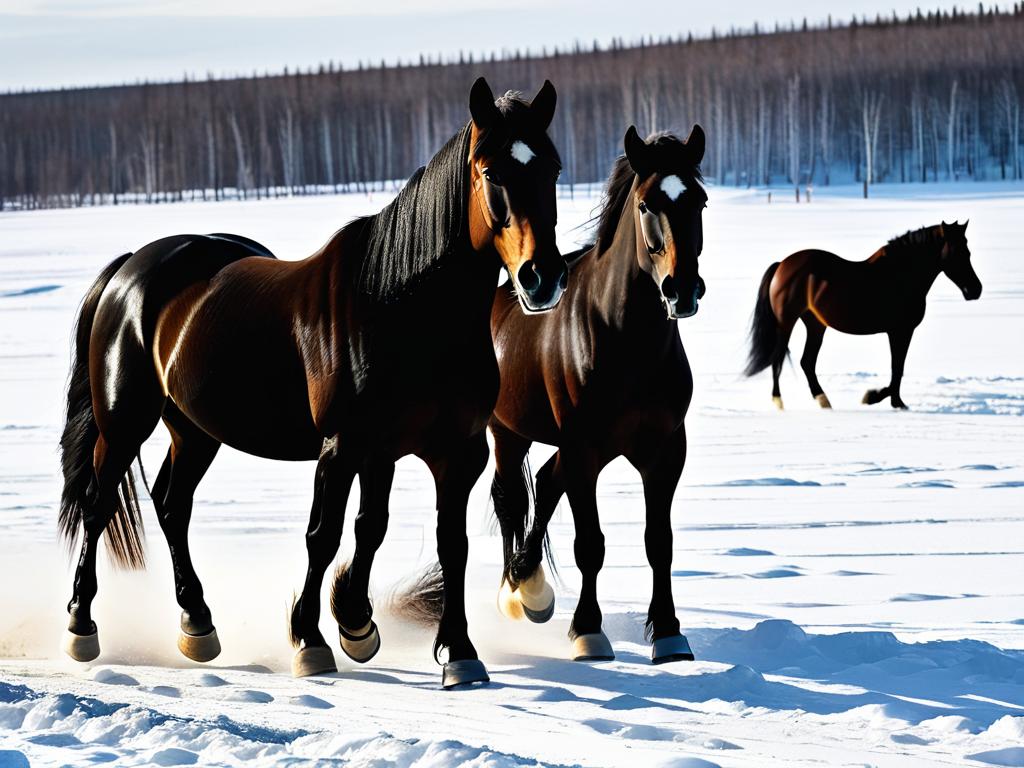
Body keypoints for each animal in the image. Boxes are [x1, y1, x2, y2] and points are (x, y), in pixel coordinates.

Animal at [485, 123, 708, 663]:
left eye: (700, 201)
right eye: (647, 204)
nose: (682, 289)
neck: (624, 338)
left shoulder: (664, 452)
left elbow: (659, 541)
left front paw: (669, 633)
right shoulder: (584, 450)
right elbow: (590, 543)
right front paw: (588, 632)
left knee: (545, 484)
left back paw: (532, 588)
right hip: (507, 434)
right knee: (511, 499)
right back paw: (514, 591)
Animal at [745, 219, 983, 411]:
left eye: (968, 252)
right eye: (958, 253)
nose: (975, 290)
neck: (901, 275)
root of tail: (781, 265)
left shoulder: (899, 332)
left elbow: (898, 368)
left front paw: (888, 400)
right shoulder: (900, 331)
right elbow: (897, 368)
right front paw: (880, 399)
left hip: (815, 325)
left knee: (807, 362)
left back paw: (823, 401)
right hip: (786, 323)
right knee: (778, 359)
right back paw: (779, 402)